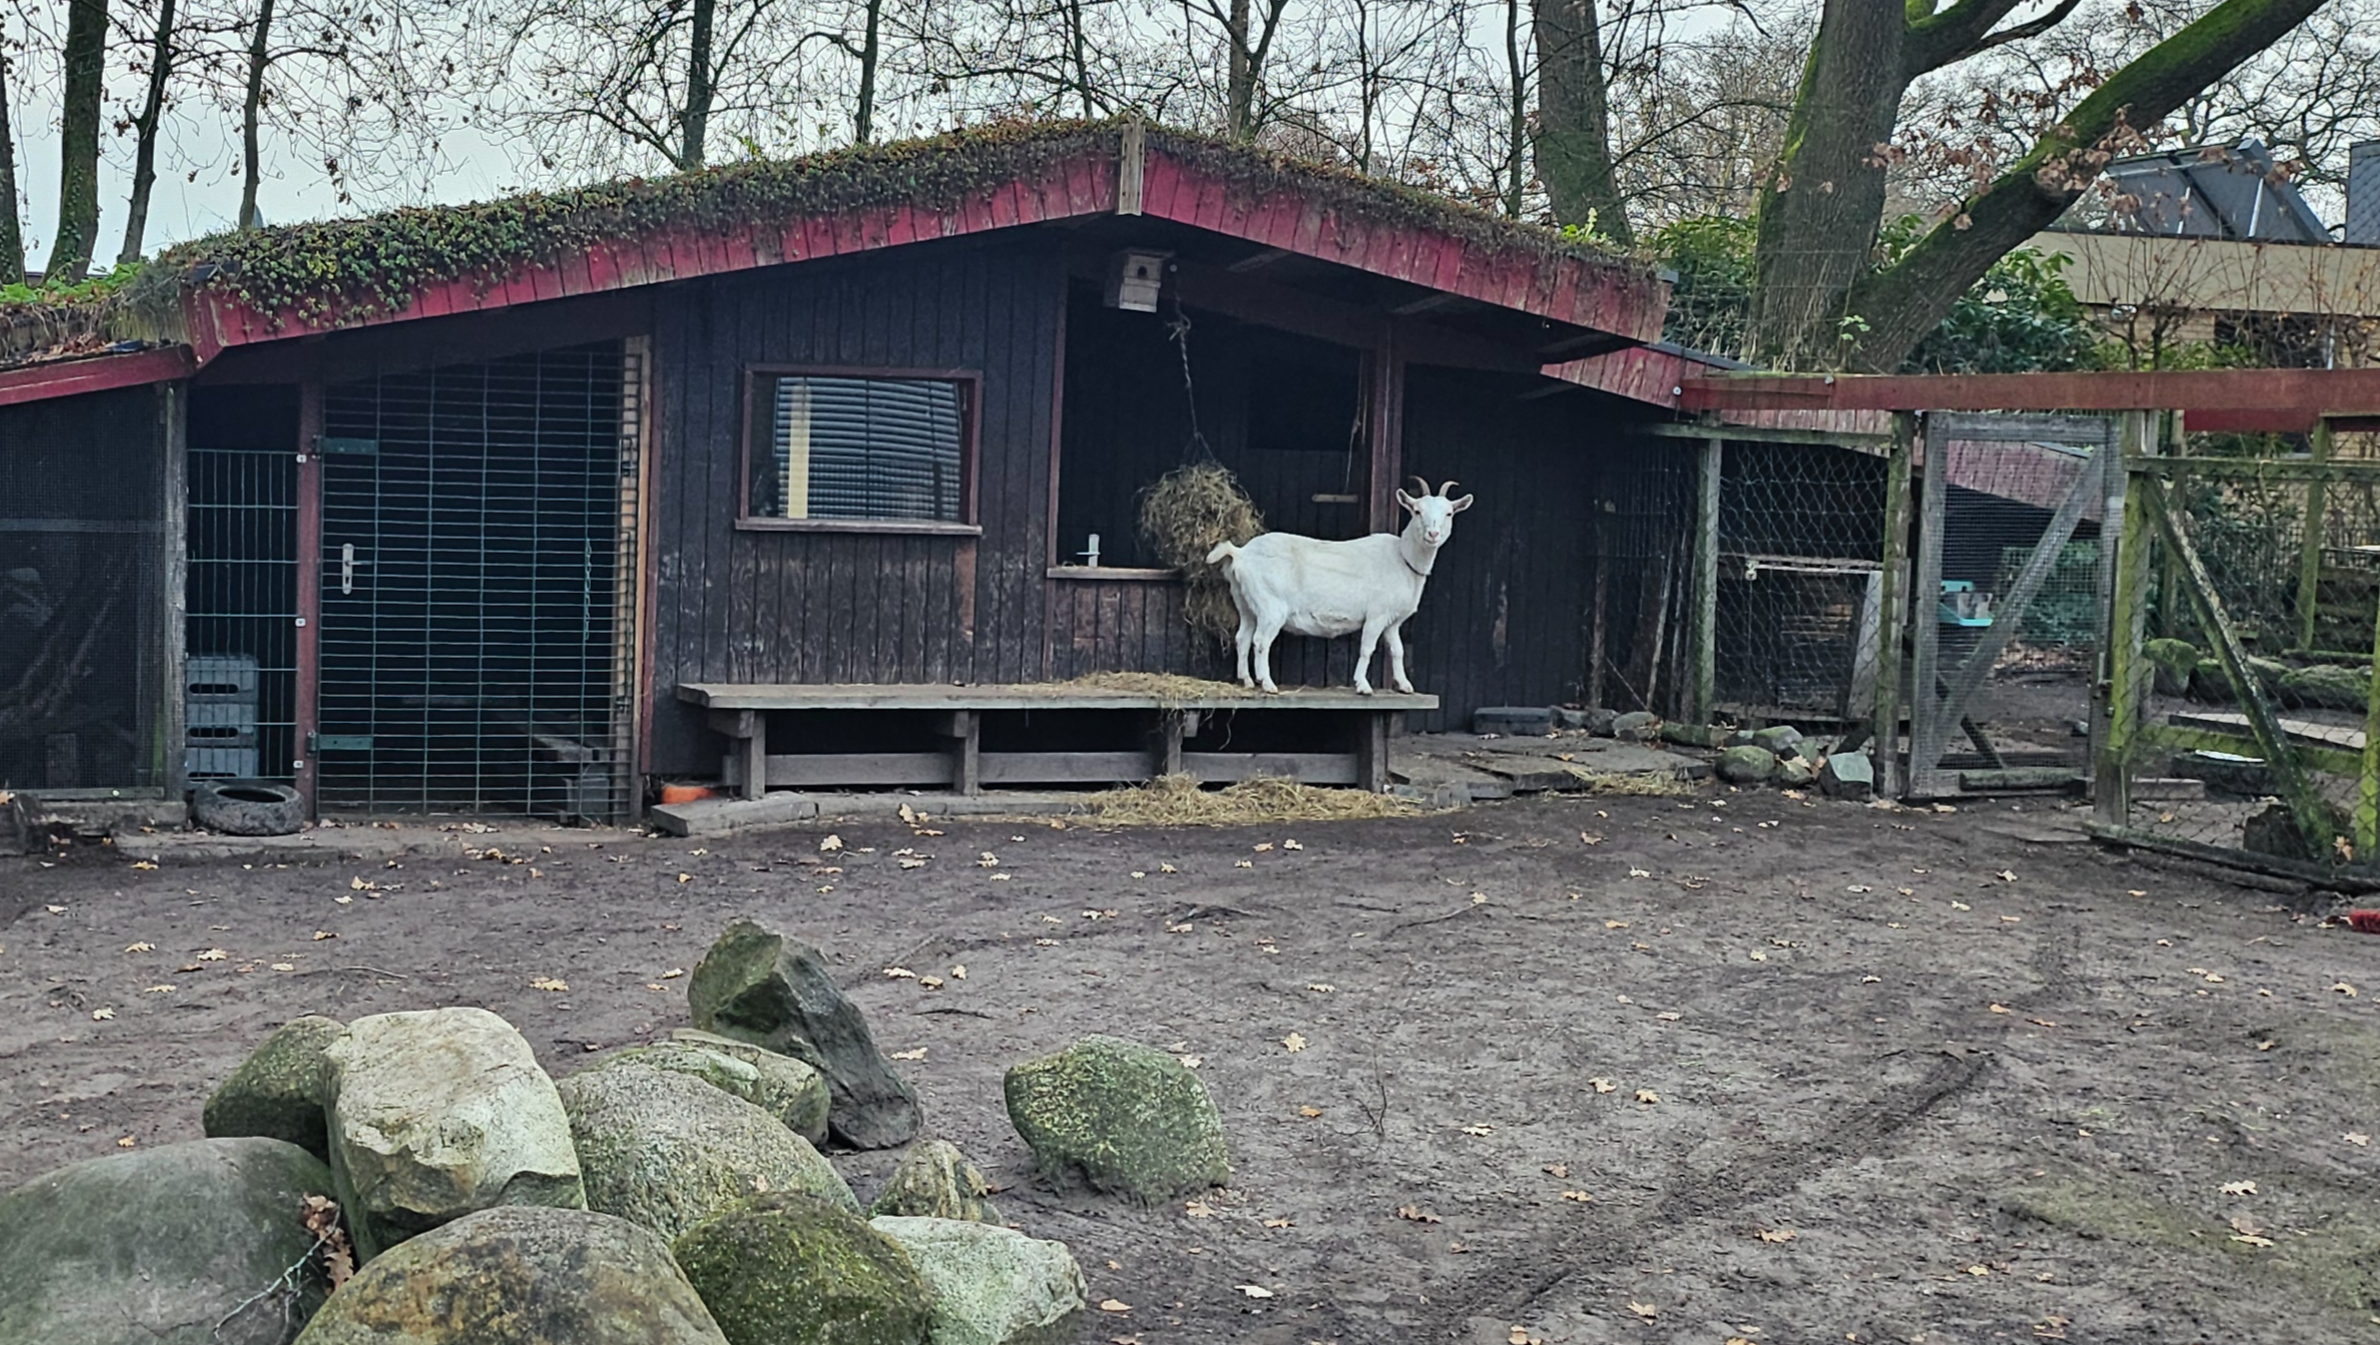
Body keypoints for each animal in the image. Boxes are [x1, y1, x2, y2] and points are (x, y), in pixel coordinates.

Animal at [1205, 478, 1473, 695]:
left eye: (1449, 513)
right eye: (1417, 511)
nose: (1433, 534)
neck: (1402, 557)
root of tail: (1241, 554)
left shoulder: (1392, 622)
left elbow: (1398, 650)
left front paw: (1405, 686)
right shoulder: (1376, 615)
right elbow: (1367, 648)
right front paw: (1363, 686)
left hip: (1247, 603)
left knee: (1243, 637)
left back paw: (1247, 680)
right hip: (1271, 606)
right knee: (1261, 641)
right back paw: (1267, 684)